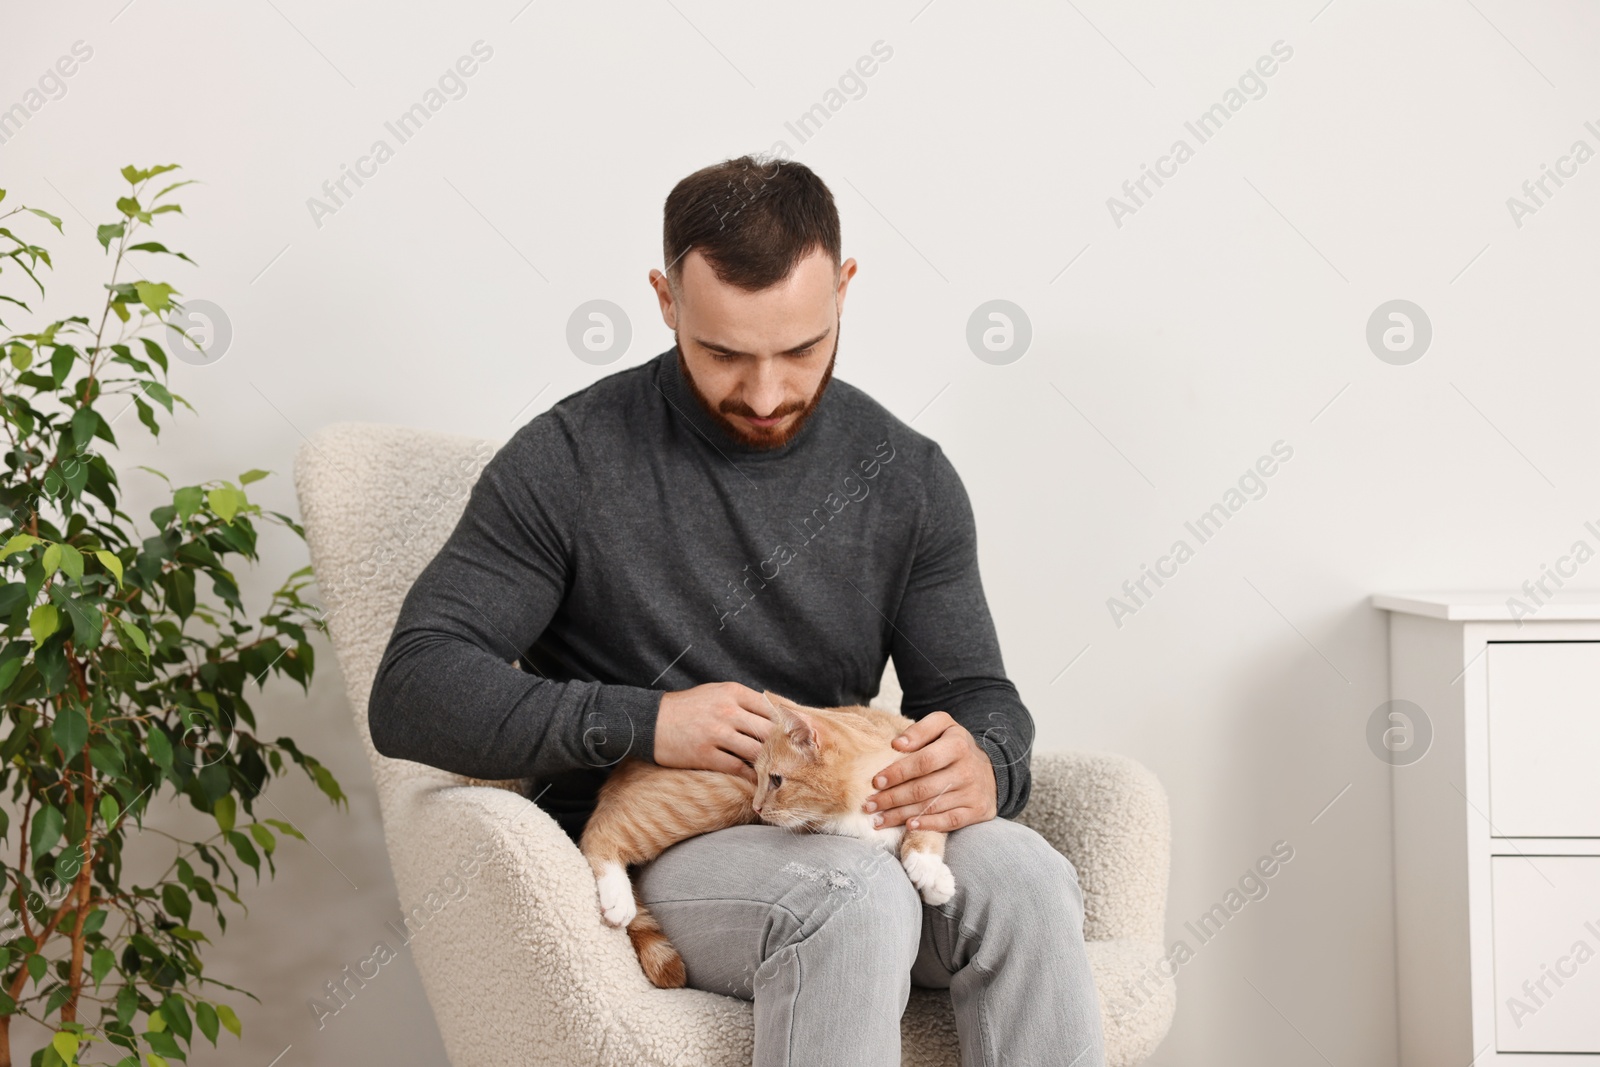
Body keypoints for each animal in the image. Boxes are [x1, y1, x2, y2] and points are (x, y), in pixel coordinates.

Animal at [582, 687, 953, 991]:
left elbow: (930, 812)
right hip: (717, 795)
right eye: (759, 775)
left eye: (776, 780)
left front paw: (928, 868)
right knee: (599, 835)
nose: (759, 808)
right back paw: (618, 897)